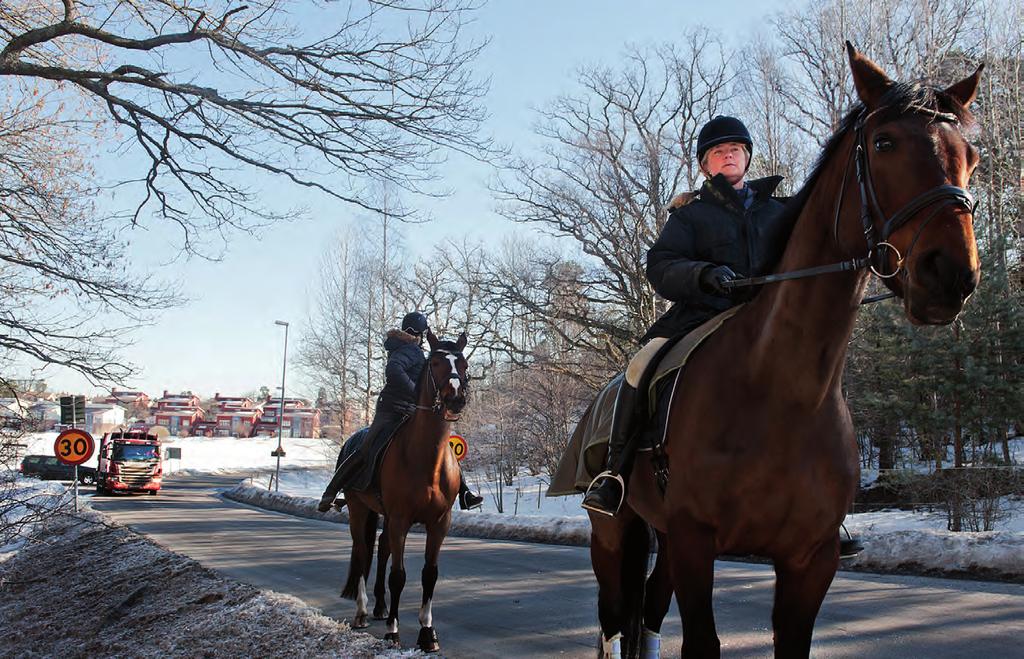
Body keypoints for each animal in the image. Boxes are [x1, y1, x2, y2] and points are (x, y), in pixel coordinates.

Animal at [344, 331, 471, 650]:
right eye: (436, 362)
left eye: (463, 363)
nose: (455, 397)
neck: (427, 459)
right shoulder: (401, 519)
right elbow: (398, 576)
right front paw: (393, 631)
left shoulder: (439, 523)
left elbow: (429, 574)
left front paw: (427, 632)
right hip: (358, 510)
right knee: (362, 553)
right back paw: (363, 612)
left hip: (386, 517)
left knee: (382, 548)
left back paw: (380, 607)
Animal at [593, 43, 983, 654]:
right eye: (884, 143)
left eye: (972, 155)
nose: (950, 275)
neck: (782, 389)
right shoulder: (696, 541)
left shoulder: (810, 558)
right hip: (615, 533)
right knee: (613, 620)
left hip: (661, 539)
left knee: (648, 614)